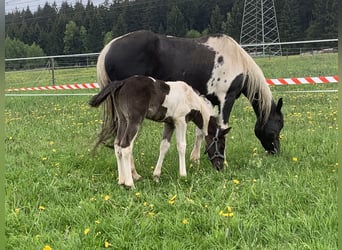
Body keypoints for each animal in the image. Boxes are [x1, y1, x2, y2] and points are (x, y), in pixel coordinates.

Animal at [89, 75, 231, 188]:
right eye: (221, 145)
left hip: (123, 120)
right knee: (125, 146)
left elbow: (164, 146)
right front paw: (183, 175)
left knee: (117, 145)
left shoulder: (169, 123)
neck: (191, 98)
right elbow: (181, 146)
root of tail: (122, 82)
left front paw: (156, 176)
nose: (220, 167)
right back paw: (130, 184)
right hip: (134, 120)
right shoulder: (181, 121)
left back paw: (121, 181)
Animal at [95, 29, 284, 156]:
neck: (236, 59)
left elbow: (204, 128)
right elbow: (222, 127)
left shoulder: (209, 100)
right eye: (277, 127)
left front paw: (196, 159)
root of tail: (108, 48)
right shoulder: (226, 99)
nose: (275, 151)